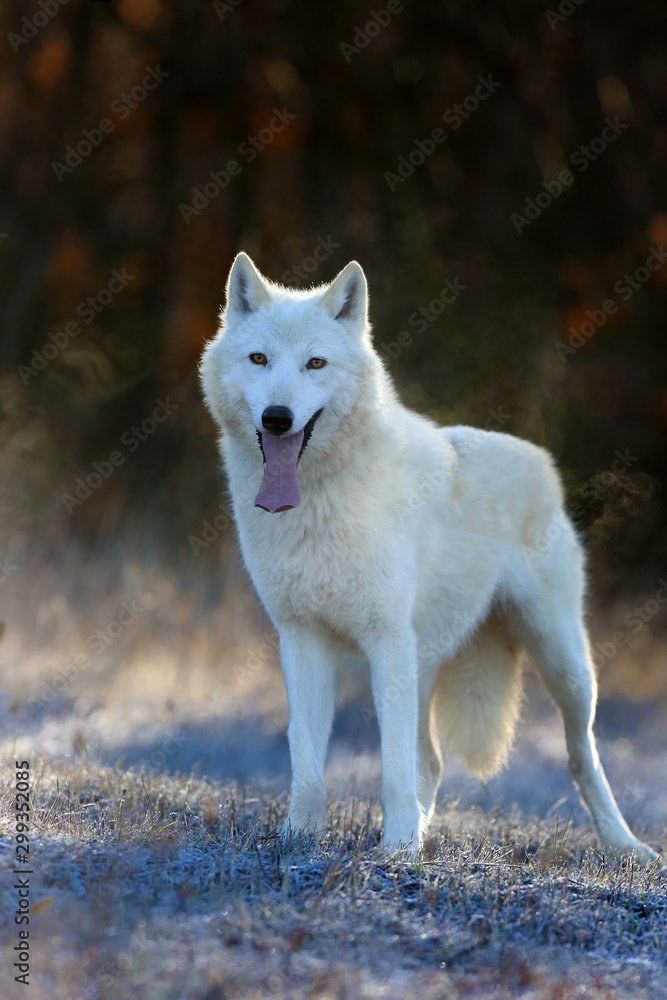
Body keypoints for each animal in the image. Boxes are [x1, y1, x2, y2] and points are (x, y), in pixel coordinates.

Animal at [200, 252, 660, 864]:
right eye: (259, 359)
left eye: (315, 363)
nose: (277, 417)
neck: (320, 502)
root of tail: (542, 461)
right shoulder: (302, 642)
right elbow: (308, 762)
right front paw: (300, 839)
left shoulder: (386, 639)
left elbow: (392, 767)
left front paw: (397, 851)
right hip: (426, 669)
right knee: (435, 762)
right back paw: (421, 827)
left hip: (562, 665)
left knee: (582, 756)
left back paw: (625, 845)